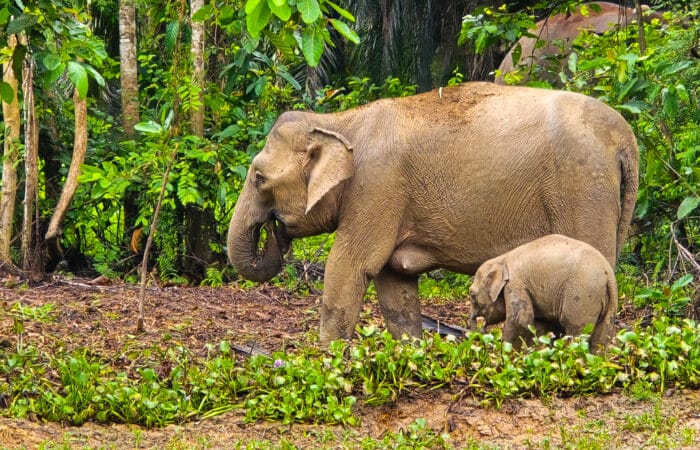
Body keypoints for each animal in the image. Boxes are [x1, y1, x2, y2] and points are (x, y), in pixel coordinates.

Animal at [469, 234, 618, 352]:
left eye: (472, 296)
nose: (479, 324)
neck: (501, 259)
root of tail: (608, 274)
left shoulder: (515, 284)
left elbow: (520, 319)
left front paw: (507, 353)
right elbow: (540, 325)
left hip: (581, 296)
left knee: (575, 332)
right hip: (606, 303)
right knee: (600, 338)